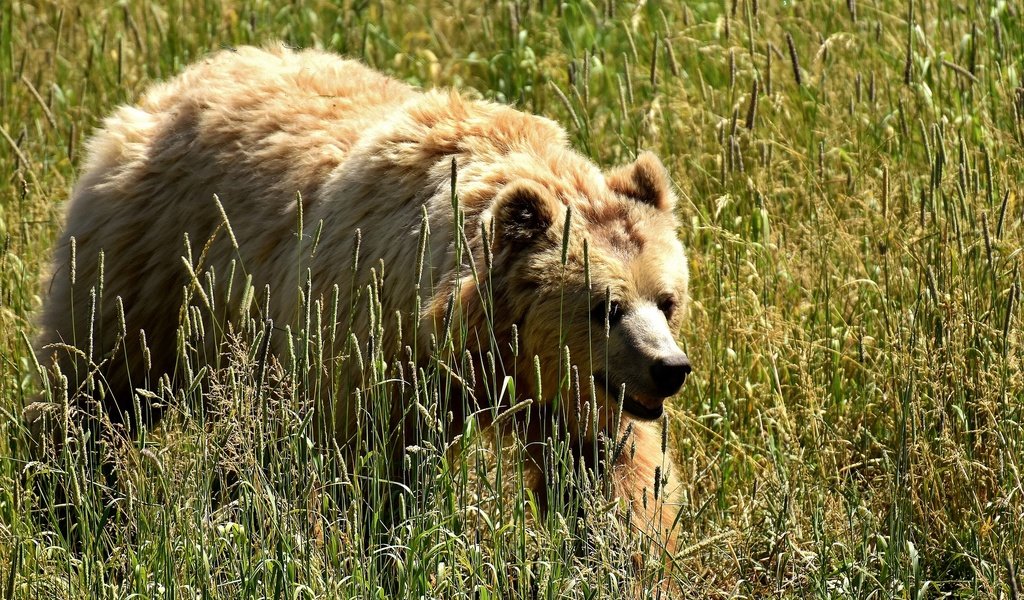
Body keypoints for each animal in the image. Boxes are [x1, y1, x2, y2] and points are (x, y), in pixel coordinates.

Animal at [28, 45, 692, 561]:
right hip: (147, 267)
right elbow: (369, 469)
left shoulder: (576, 398)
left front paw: (621, 553)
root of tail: (174, 86)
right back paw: (71, 508)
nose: (670, 368)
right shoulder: (368, 342)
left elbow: (612, 473)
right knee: (94, 393)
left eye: (667, 300)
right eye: (604, 306)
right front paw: (375, 548)